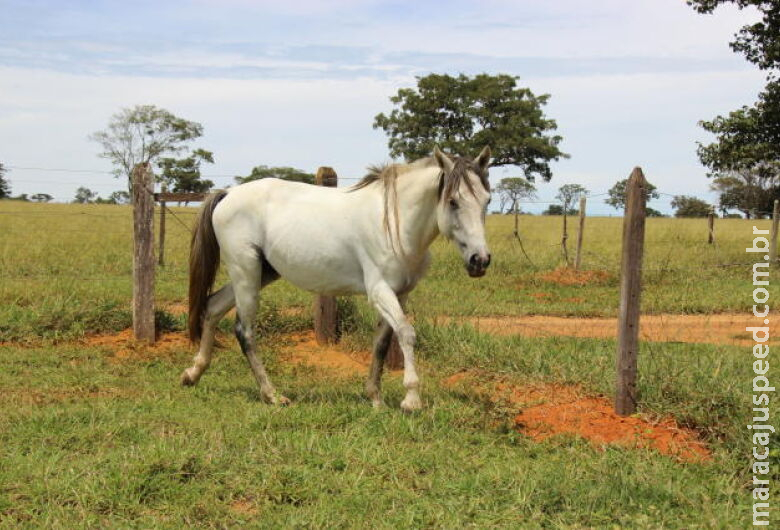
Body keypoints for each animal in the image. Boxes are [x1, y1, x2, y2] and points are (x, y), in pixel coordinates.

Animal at [180, 146, 490, 410]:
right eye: (453, 201)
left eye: (487, 200)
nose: (480, 260)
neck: (393, 223)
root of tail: (227, 193)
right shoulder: (379, 290)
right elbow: (406, 333)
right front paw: (411, 399)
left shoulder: (400, 293)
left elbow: (381, 343)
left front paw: (375, 398)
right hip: (245, 273)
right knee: (244, 331)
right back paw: (272, 395)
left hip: (259, 273)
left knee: (212, 306)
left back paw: (193, 373)